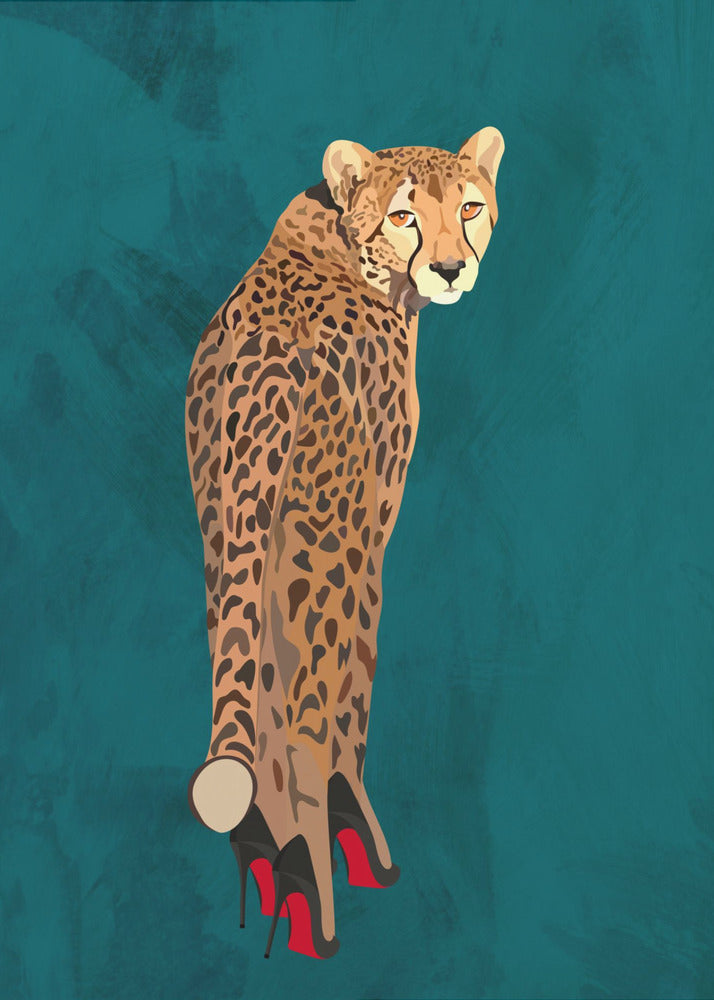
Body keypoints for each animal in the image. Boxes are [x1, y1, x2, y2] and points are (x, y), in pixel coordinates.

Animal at [184, 127, 505, 945]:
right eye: (404, 217)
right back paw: (314, 881)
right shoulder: (370, 522)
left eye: (469, 207)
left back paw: (268, 850)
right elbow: (357, 674)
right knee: (304, 709)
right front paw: (347, 819)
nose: (451, 268)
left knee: (252, 680)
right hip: (321, 543)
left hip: (227, 532)